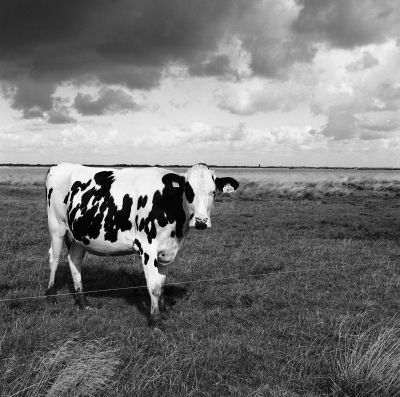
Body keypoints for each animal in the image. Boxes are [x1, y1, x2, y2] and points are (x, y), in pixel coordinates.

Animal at [44, 162, 238, 326]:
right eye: (189, 191)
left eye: (213, 192)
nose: (201, 221)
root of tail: (58, 166)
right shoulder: (147, 248)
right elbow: (153, 286)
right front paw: (156, 321)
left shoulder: (166, 250)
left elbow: (161, 283)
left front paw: (164, 312)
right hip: (56, 226)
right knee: (53, 259)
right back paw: (51, 295)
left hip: (79, 235)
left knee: (74, 261)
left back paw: (83, 302)